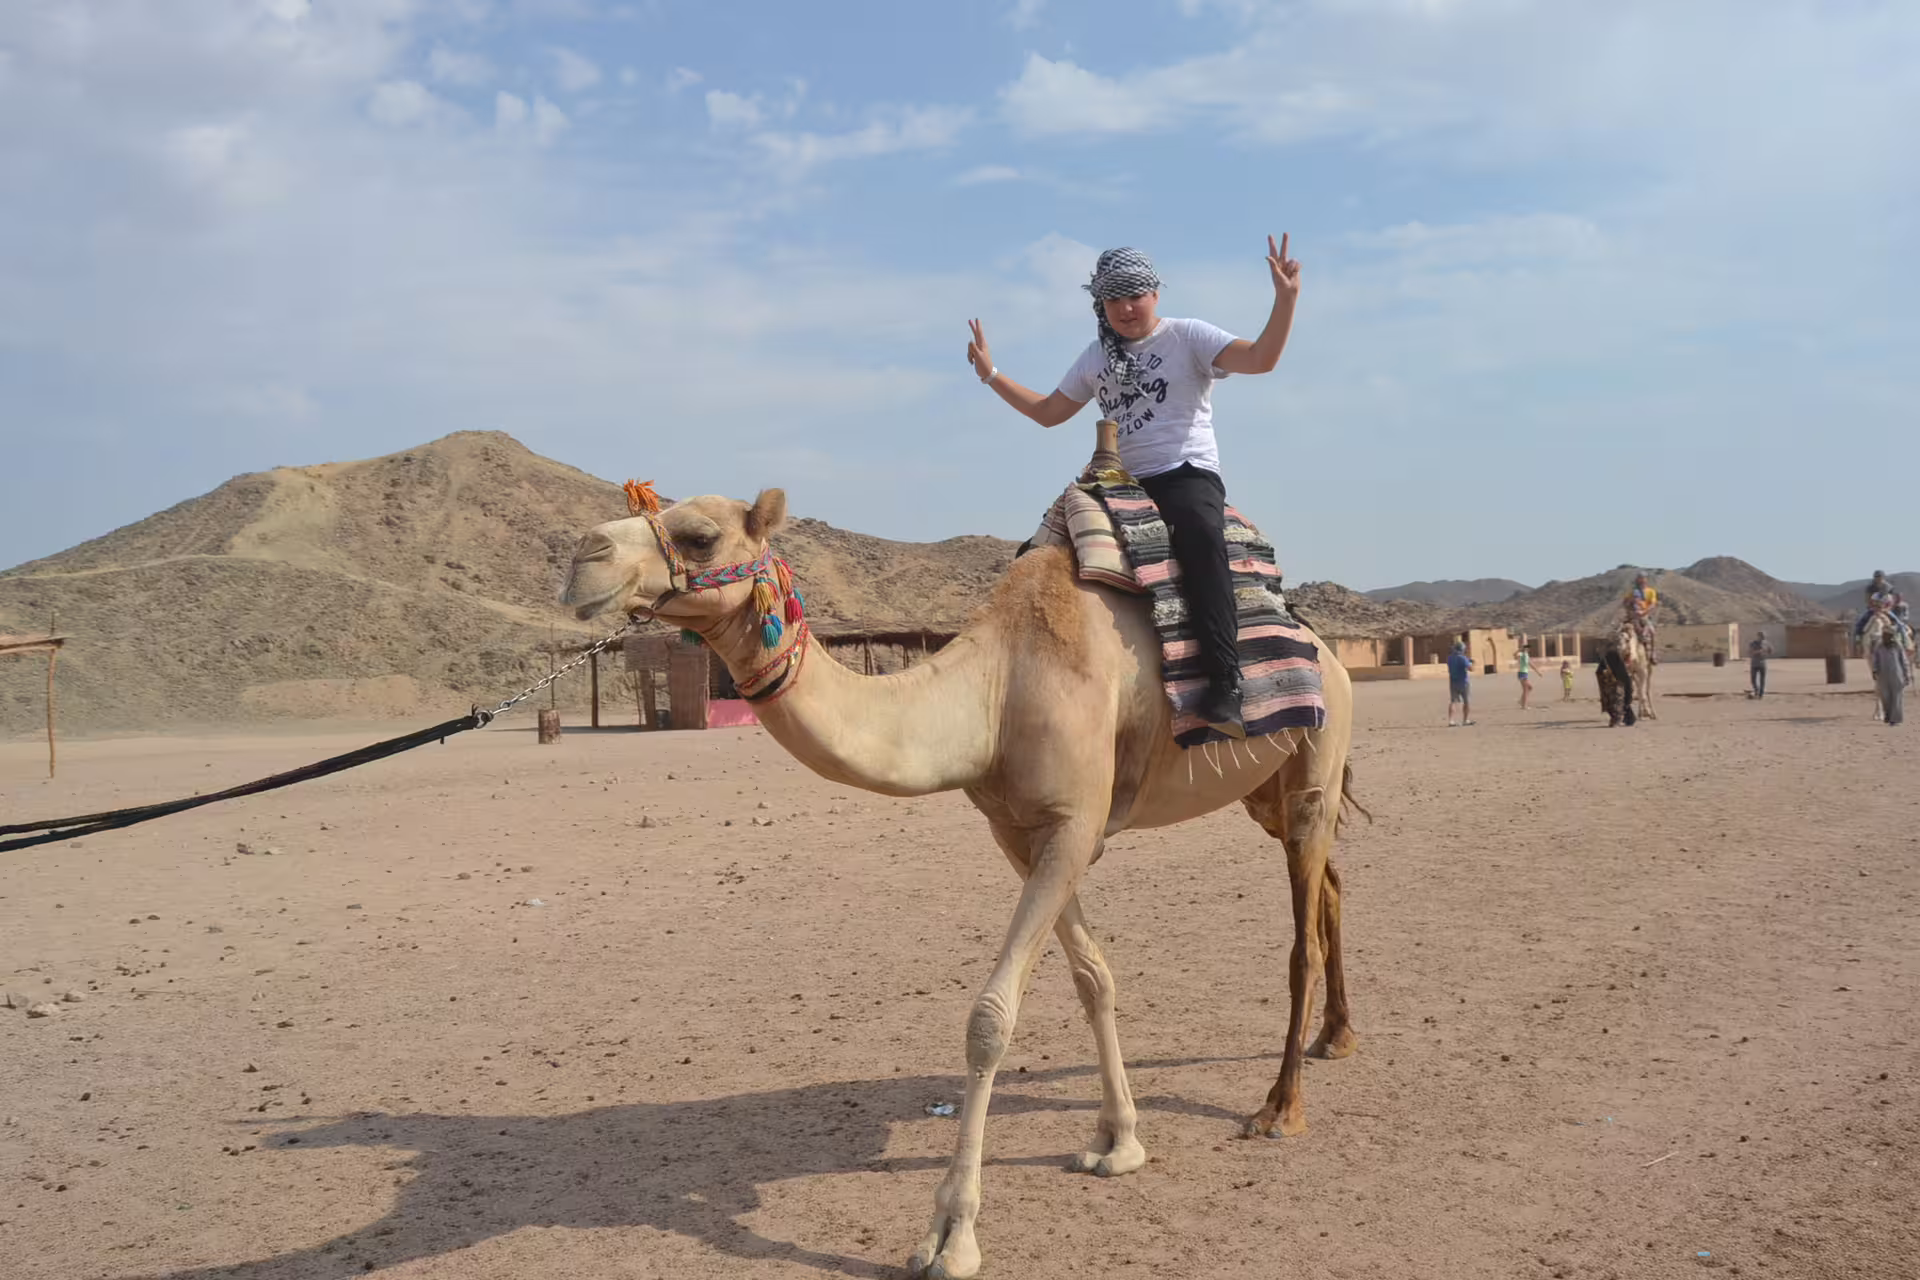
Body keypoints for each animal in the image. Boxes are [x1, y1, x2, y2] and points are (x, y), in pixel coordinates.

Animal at [560, 441, 1364, 1280]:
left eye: (700, 536)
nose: (582, 558)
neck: (994, 691)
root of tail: (1329, 656)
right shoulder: (1019, 832)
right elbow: (1093, 978)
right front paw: (1117, 1141)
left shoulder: (1073, 825)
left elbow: (990, 1017)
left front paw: (952, 1233)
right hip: (1264, 792)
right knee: (1333, 885)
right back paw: (1335, 1036)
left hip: (1317, 757)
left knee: (1302, 938)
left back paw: (1281, 1107)